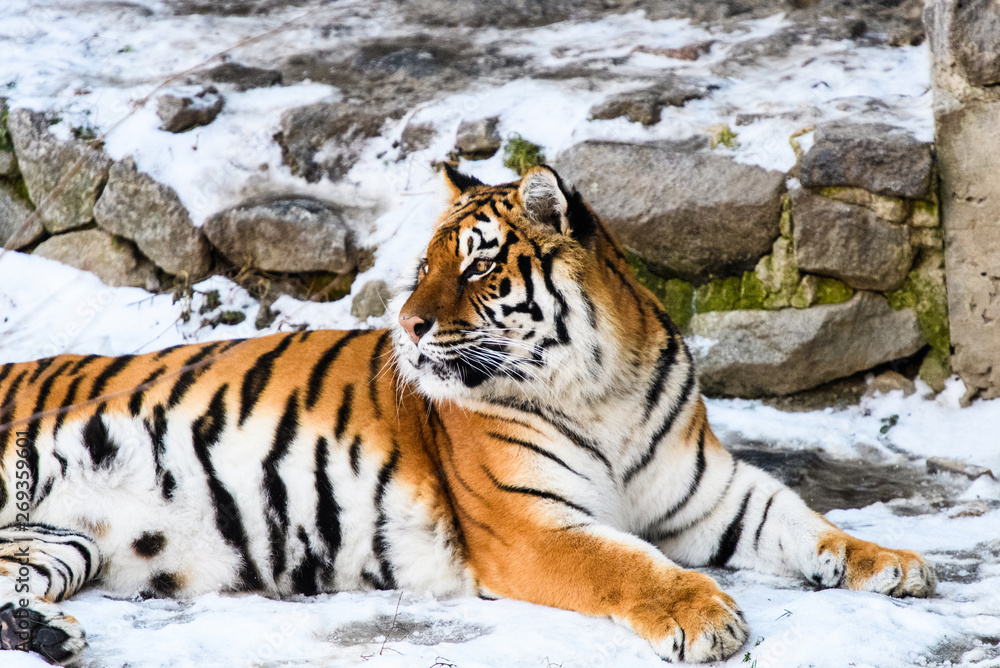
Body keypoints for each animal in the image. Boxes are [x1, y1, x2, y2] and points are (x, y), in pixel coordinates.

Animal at [0, 163, 935, 665]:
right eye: (423, 267)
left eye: (480, 266)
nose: (406, 326)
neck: (604, 387)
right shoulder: (531, 526)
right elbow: (629, 564)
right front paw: (705, 616)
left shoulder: (710, 493)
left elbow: (806, 522)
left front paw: (894, 563)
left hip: (60, 543)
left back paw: (49, 634)